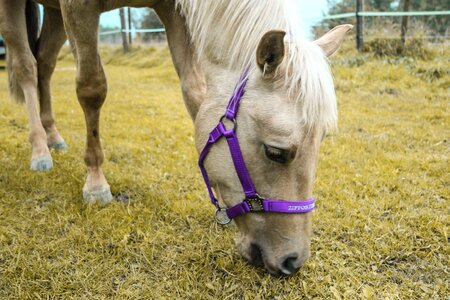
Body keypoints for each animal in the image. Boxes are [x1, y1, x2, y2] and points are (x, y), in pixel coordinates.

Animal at [0, 0, 352, 276]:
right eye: (275, 152)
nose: (294, 260)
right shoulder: (78, 7)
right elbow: (91, 87)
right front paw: (96, 182)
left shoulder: (173, 12)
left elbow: (194, 90)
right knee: (26, 65)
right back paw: (40, 149)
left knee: (45, 63)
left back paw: (52, 135)